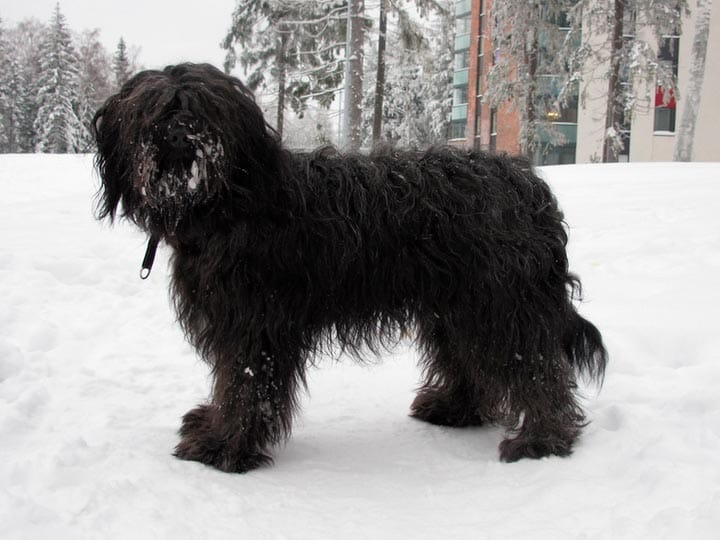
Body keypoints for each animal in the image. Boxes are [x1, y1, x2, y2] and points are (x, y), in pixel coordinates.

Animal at [91, 63, 608, 472]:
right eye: (153, 110)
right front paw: (215, 429)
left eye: (204, 107)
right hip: (456, 306)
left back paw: (542, 439)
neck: (229, 204)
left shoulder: (256, 324)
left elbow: (244, 385)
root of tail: (529, 187)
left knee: (534, 369)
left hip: (501, 304)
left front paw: (223, 447)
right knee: (470, 360)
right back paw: (453, 408)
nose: (180, 132)